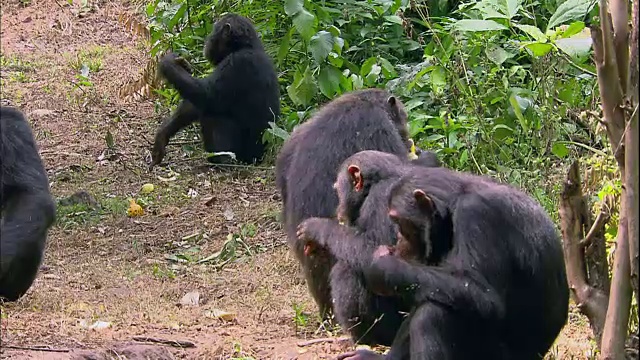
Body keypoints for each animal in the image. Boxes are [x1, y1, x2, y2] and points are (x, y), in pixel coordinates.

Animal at [151, 13, 282, 166]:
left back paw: (222, 159)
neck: (242, 47)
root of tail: (262, 157)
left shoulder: (237, 63)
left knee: (214, 114)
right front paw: (163, 134)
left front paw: (168, 62)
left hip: (246, 156)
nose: (207, 40)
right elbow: (195, 105)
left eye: (214, 31)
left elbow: (208, 96)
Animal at [332, 150, 568, 358]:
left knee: (432, 316)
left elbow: (482, 295)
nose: (399, 239)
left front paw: (380, 266)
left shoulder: (475, 214)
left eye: (398, 220)